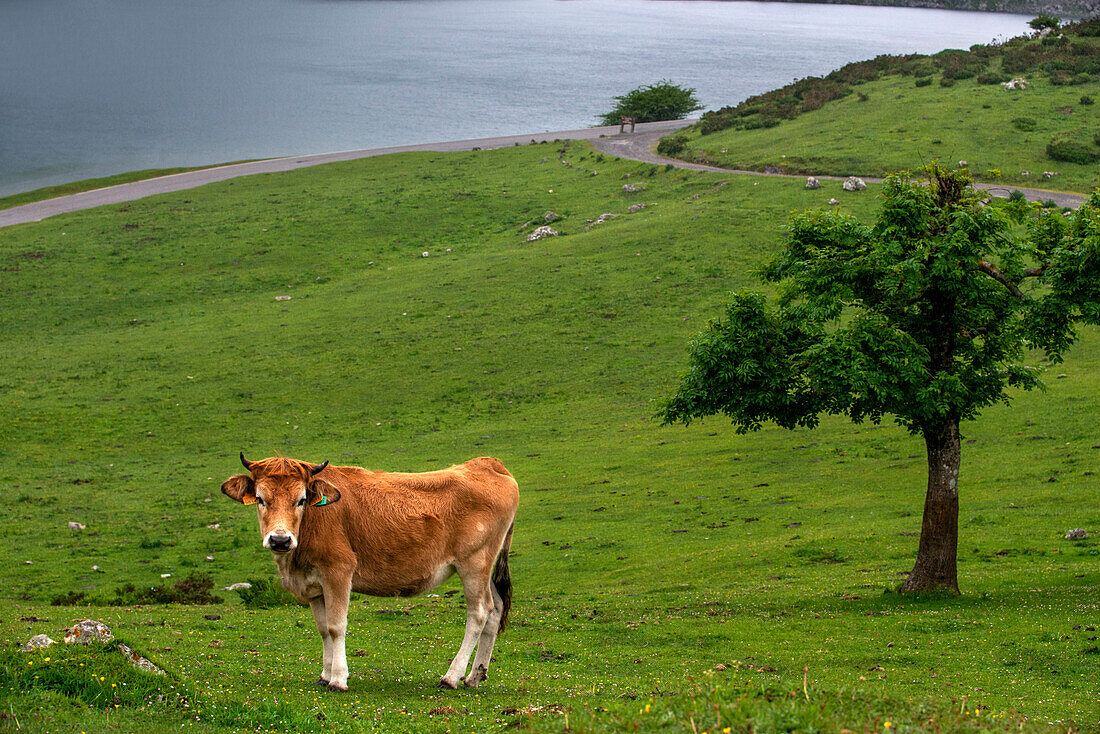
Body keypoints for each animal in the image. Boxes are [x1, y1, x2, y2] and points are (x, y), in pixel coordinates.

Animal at [223, 453, 519, 691]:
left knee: (479, 613)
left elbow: (336, 626)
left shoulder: (338, 571)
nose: (280, 540)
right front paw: (324, 675)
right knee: (495, 609)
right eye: (260, 499)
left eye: (301, 500)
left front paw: (338, 679)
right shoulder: (315, 585)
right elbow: (322, 629)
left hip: (474, 563)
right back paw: (475, 676)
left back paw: (451, 677)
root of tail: (488, 464)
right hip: (485, 568)